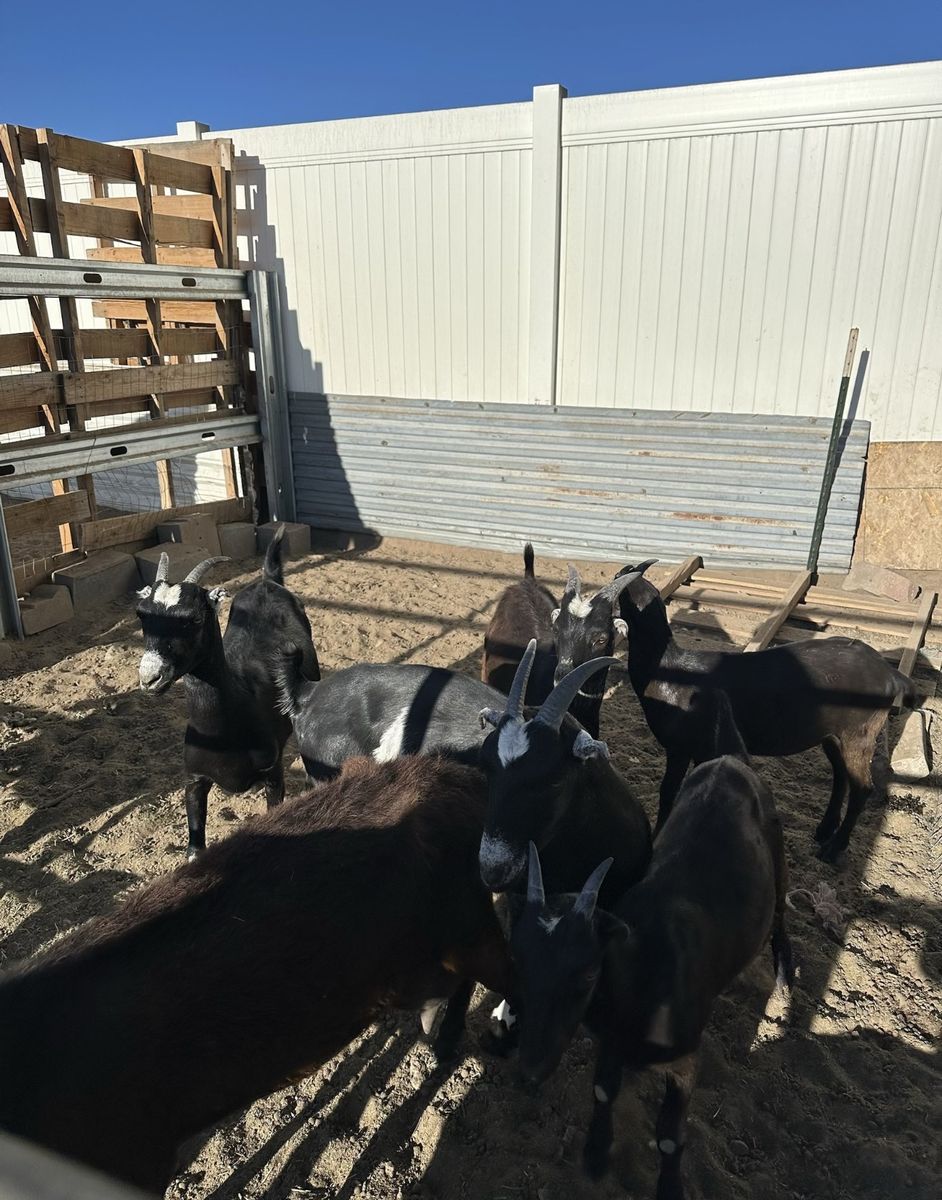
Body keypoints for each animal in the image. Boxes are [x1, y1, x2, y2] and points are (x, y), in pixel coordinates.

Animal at [136, 525, 319, 859]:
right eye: (142, 614)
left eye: (195, 618)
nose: (151, 677)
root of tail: (267, 580)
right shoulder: (194, 780)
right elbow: (195, 849)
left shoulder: (273, 774)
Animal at [512, 691, 793, 1200]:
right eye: (519, 960)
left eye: (588, 971)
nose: (532, 1068)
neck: (645, 970)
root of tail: (731, 759)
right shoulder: (608, 1040)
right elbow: (603, 1091)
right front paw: (595, 1155)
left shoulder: (685, 1064)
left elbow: (668, 1136)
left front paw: (669, 1187)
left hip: (779, 861)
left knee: (782, 916)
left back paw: (784, 983)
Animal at [615, 561, 920, 861]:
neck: (665, 669)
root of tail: (891, 674)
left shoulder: (679, 746)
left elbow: (668, 791)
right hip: (834, 734)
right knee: (841, 776)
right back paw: (824, 830)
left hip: (859, 733)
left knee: (862, 788)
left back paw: (834, 849)